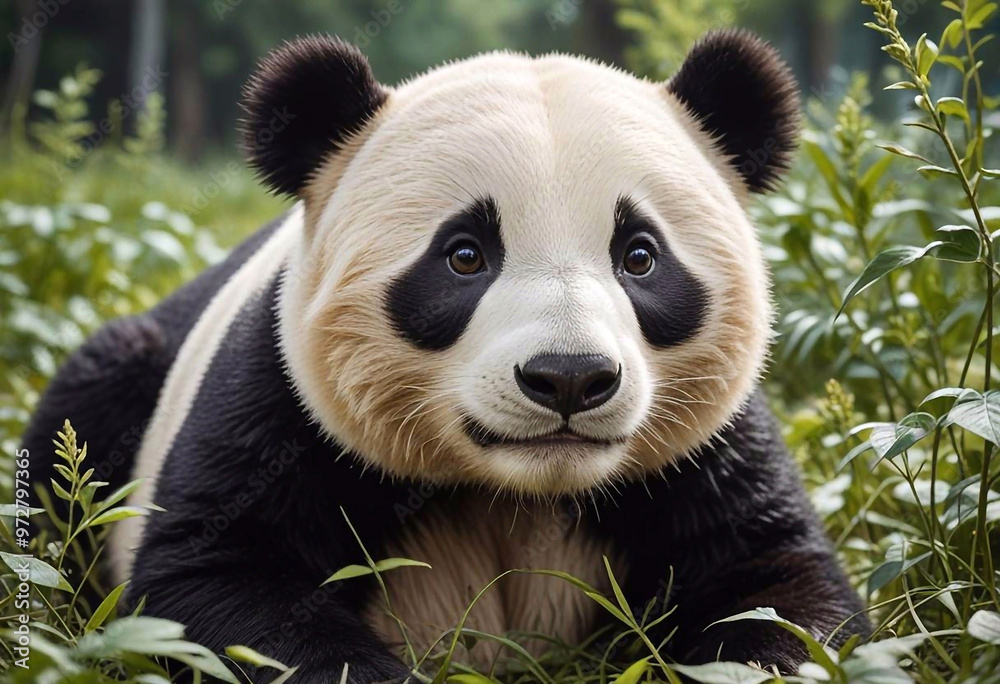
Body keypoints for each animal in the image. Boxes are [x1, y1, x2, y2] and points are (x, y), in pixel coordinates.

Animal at [24, 30, 870, 683]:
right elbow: (215, 577)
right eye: (465, 255)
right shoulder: (281, 403)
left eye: (640, 256)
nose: (569, 378)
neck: (513, 490)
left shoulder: (706, 450)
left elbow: (779, 585)